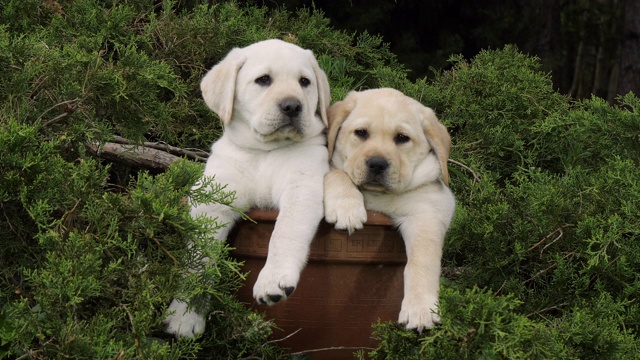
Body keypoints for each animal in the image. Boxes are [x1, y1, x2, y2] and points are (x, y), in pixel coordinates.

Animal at [165, 38, 330, 338]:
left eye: (304, 82)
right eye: (263, 80)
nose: (293, 106)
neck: (264, 151)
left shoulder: (302, 185)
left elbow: (284, 232)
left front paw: (274, 279)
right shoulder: (214, 198)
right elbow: (198, 259)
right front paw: (184, 314)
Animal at [324, 87, 456, 332]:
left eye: (402, 138)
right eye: (361, 133)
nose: (377, 163)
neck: (378, 195)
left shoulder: (428, 211)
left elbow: (421, 260)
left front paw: (420, 308)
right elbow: (336, 171)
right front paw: (346, 206)